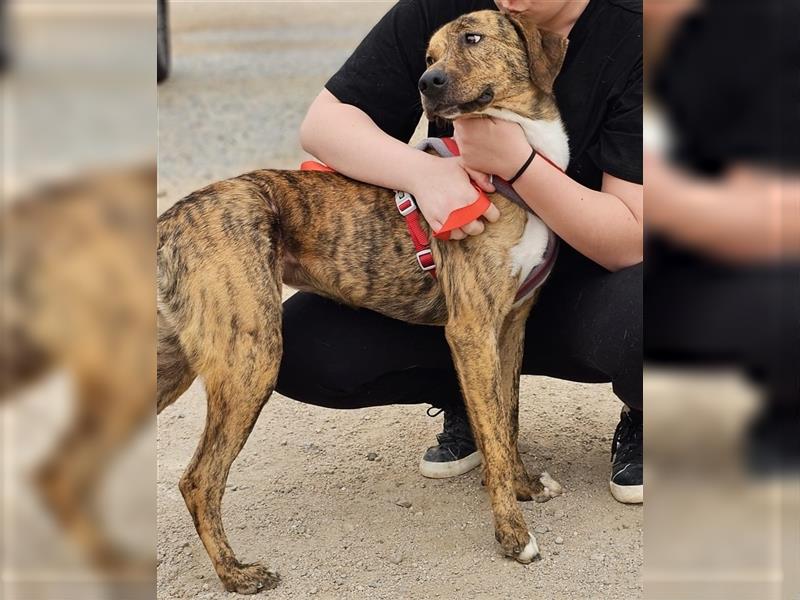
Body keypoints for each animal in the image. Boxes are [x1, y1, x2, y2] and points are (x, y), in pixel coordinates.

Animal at [156, 10, 568, 596]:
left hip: (173, 362)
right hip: (250, 358)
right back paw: (236, 574)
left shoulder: (511, 327)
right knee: (198, 479)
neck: (510, 175)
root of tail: (172, 219)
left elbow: (506, 421)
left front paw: (525, 485)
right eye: (427, 56)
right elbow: (492, 430)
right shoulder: (472, 329)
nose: (426, 84)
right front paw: (513, 535)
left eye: (472, 38)